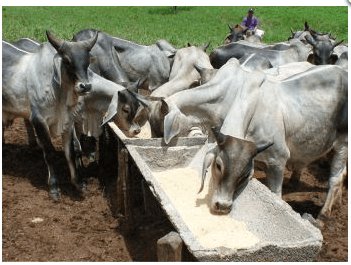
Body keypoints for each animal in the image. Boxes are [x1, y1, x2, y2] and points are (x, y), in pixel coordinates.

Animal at [2, 31, 99, 200]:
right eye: (67, 60)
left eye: (87, 61)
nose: (85, 86)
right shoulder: (39, 120)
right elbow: (49, 153)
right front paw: (54, 187)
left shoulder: (67, 122)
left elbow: (71, 152)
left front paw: (78, 183)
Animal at [199, 64, 348, 227]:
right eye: (218, 166)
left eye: (244, 174)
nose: (222, 206)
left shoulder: (277, 160)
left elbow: (276, 195)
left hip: (343, 144)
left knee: (335, 179)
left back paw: (323, 216)